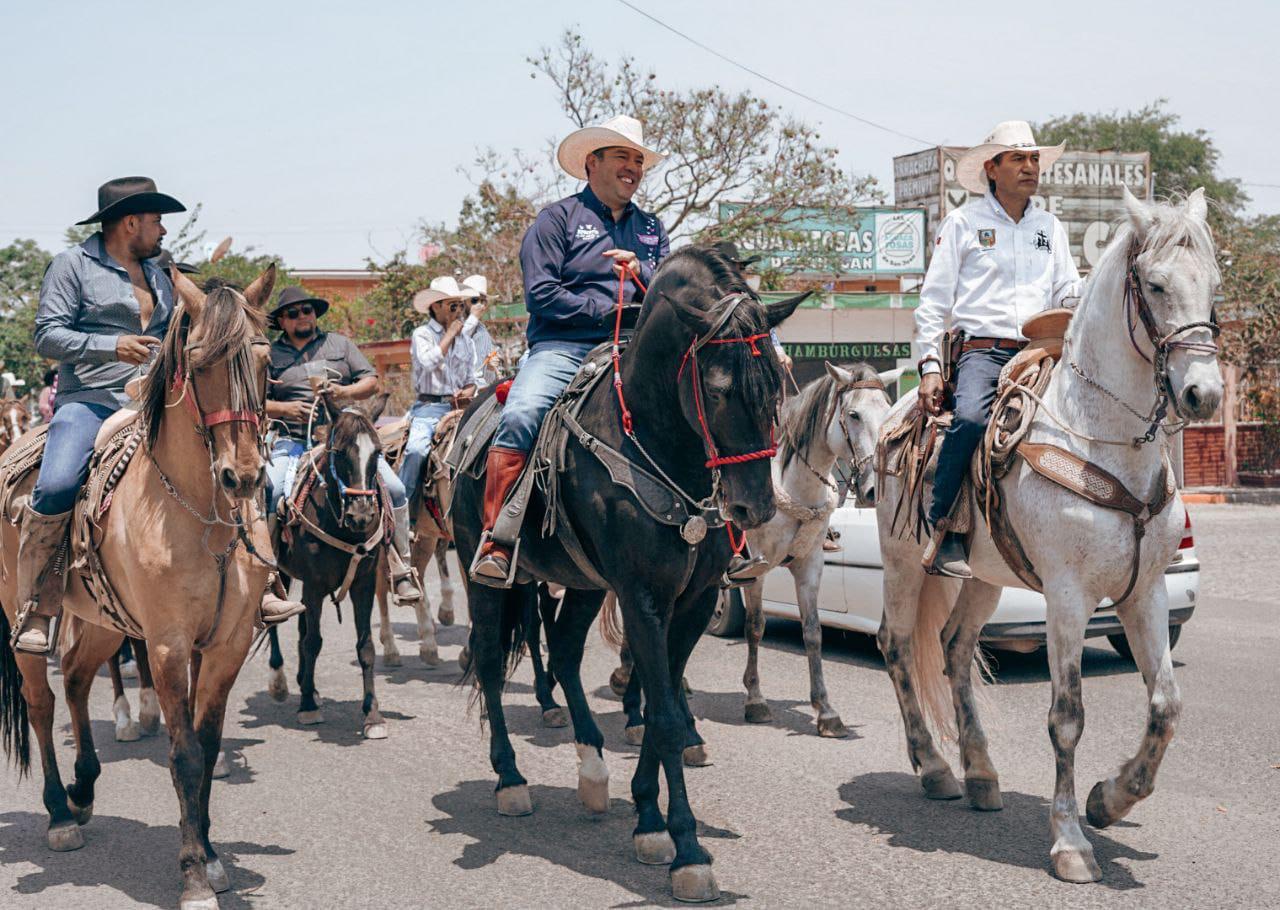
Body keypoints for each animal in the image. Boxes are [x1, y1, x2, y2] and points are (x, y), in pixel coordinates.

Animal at [0, 267, 280, 906]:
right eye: (199, 363)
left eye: (264, 361)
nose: (244, 476)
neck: (201, 515)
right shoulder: (167, 645)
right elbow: (184, 755)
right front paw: (194, 874)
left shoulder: (224, 645)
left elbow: (207, 745)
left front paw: (213, 856)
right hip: (20, 615)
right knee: (42, 699)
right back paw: (59, 815)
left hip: (105, 621)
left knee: (77, 677)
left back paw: (83, 791)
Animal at [270, 399, 389, 742]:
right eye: (340, 452)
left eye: (378, 452)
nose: (361, 516)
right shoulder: (315, 584)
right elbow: (313, 642)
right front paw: (308, 707)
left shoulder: (363, 584)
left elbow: (366, 647)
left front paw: (372, 715)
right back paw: (282, 683)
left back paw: (304, 683)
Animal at [450, 245, 798, 901]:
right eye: (717, 390)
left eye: (776, 384)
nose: (754, 508)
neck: (660, 449)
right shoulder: (641, 597)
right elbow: (662, 714)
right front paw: (687, 850)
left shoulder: (691, 601)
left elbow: (661, 707)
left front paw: (648, 820)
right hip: (477, 569)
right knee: (488, 660)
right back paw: (510, 780)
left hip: (585, 584)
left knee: (562, 650)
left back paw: (591, 771)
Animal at [737, 358, 906, 737]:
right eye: (853, 414)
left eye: (887, 412)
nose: (873, 491)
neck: (790, 488)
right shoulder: (755, 568)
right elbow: (755, 625)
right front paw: (755, 701)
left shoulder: (810, 564)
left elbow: (813, 632)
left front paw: (826, 711)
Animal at [875, 190, 1223, 880]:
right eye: (1156, 284)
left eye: (1214, 286)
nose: (1204, 393)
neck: (1105, 440)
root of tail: (900, 411)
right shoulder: (1067, 597)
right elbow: (1067, 717)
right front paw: (1070, 841)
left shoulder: (1144, 594)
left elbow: (1166, 706)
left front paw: (1110, 801)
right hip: (902, 562)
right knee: (898, 646)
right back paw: (934, 767)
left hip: (984, 575)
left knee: (954, 648)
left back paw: (981, 774)